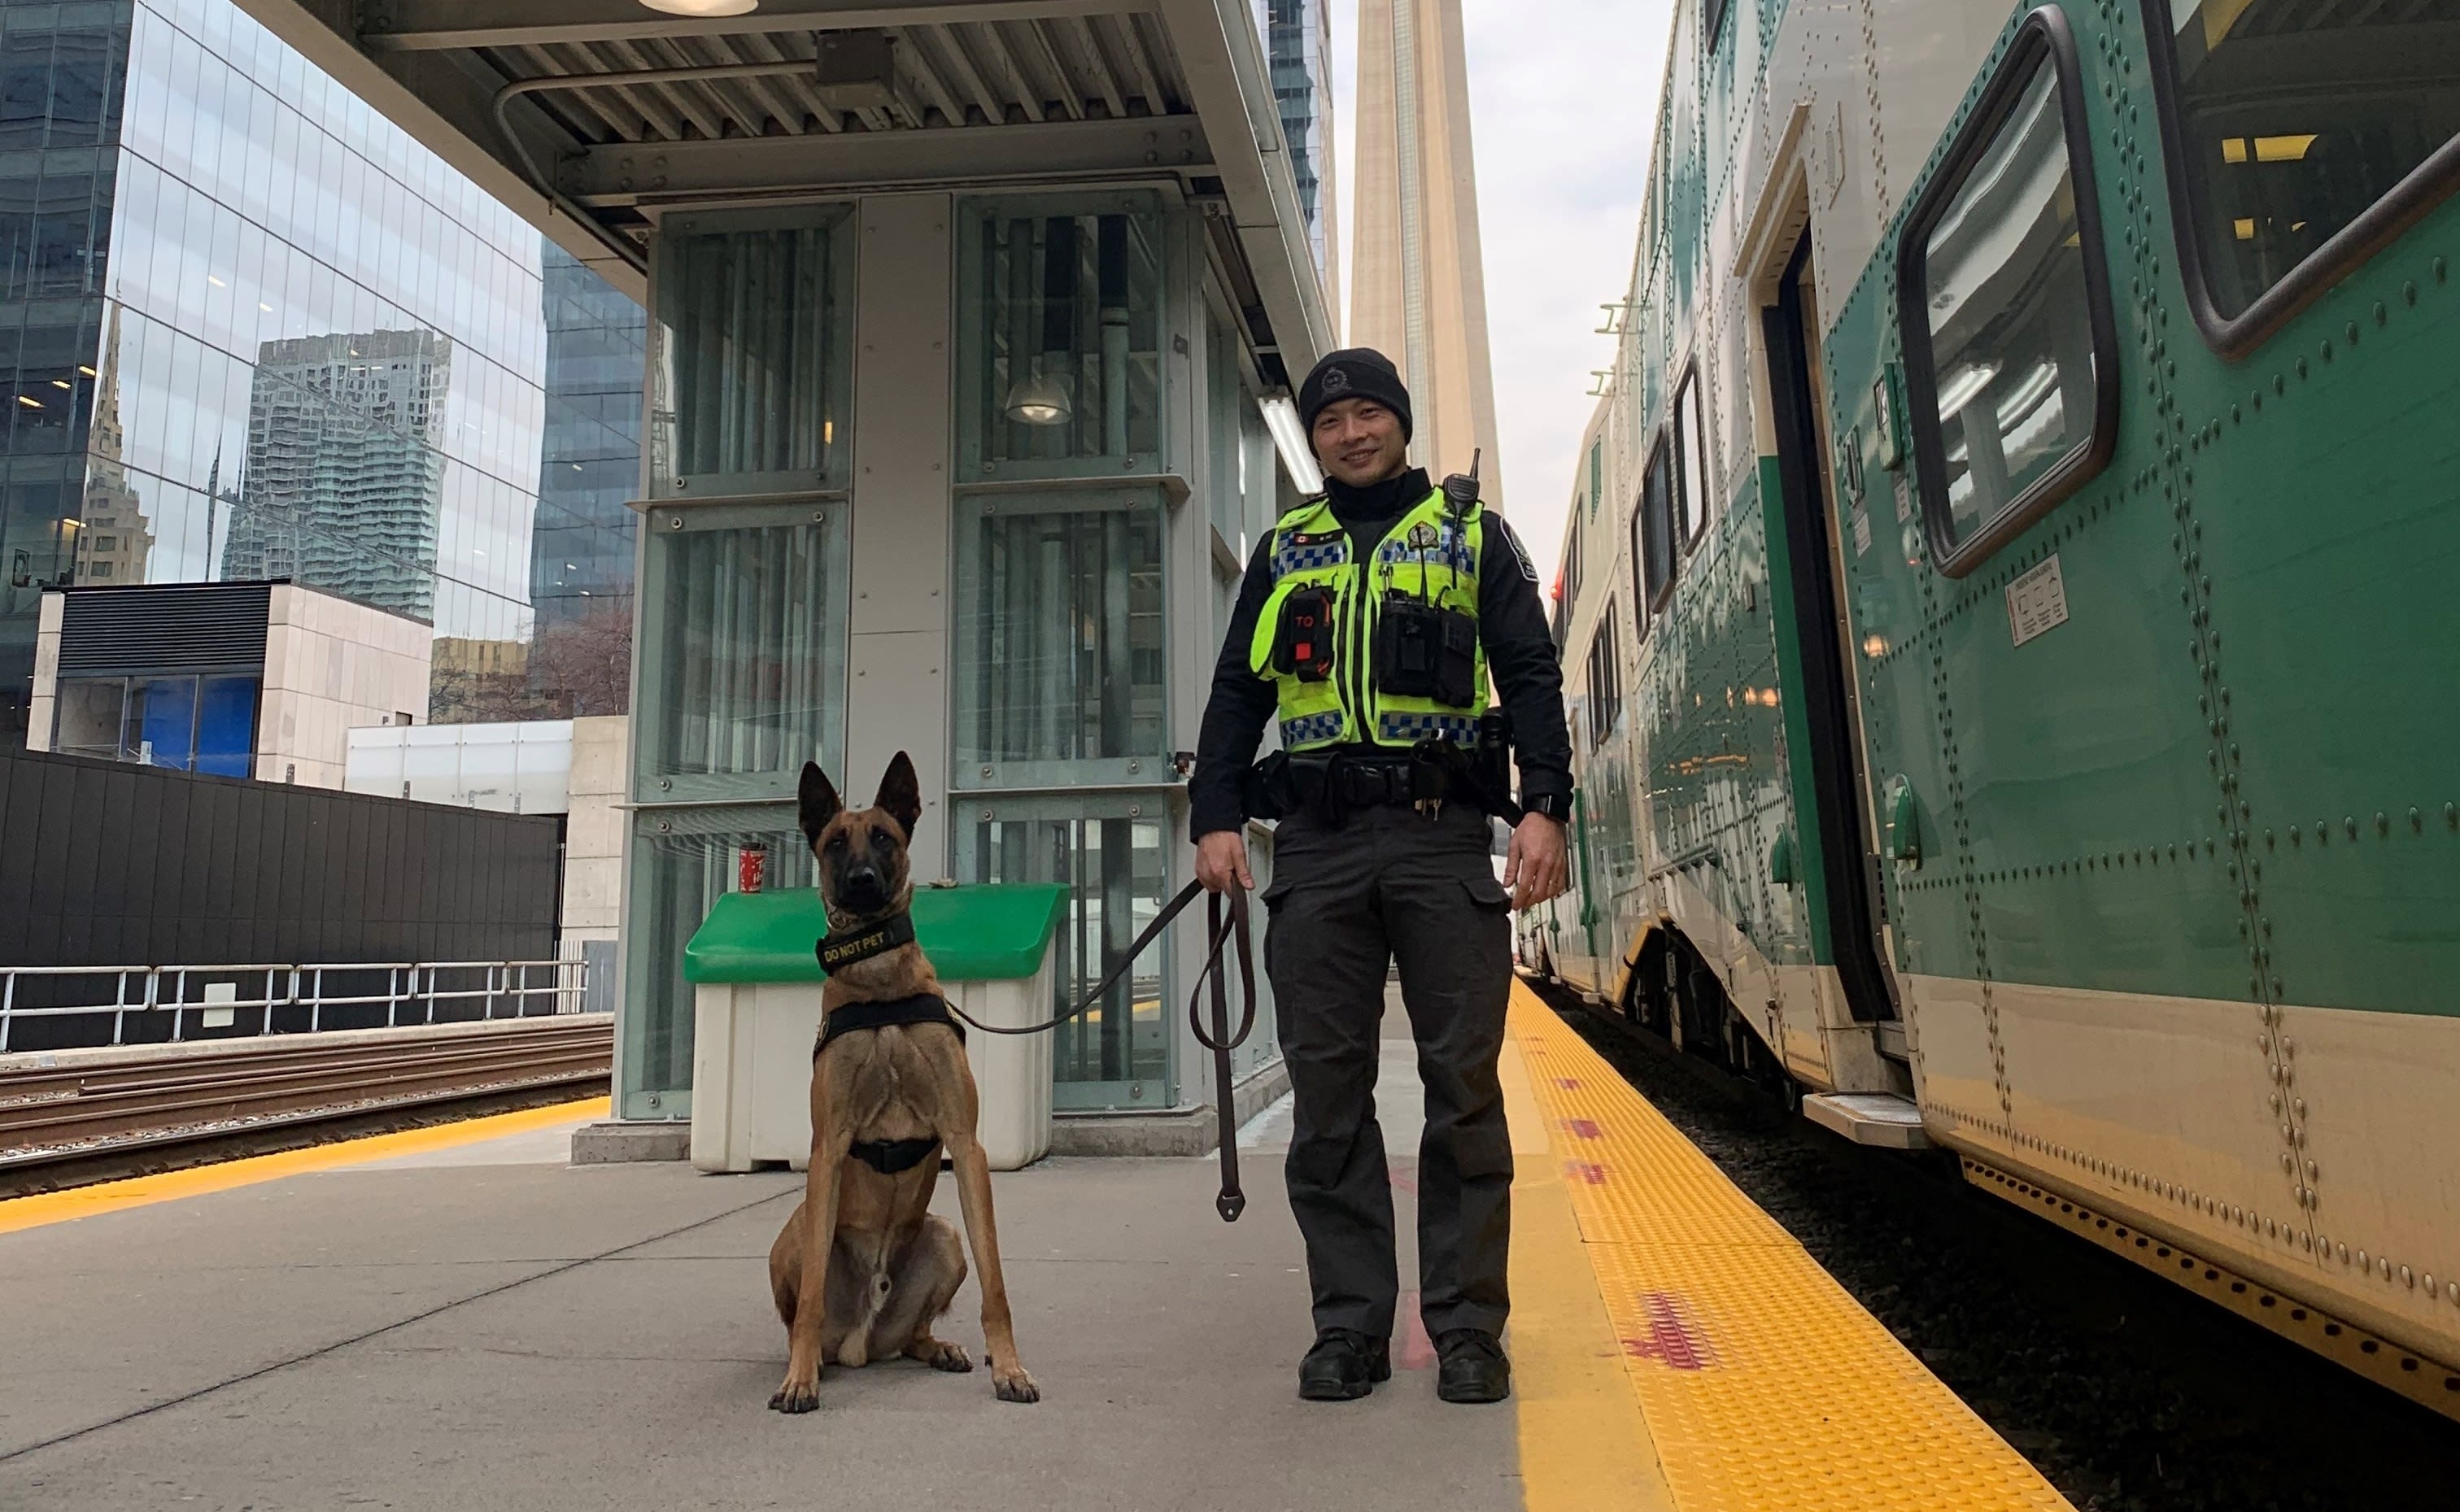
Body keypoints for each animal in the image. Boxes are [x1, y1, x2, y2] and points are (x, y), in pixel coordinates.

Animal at [767, 752, 1038, 1416]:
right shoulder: (827, 1147)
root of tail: (862, 1341)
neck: (879, 983)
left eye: (884, 837)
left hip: (943, 1236)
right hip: (795, 1228)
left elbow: (996, 1283)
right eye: (836, 842)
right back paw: (809, 1361)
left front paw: (1009, 1368)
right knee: (803, 1313)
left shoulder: (966, 1141)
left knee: (912, 1332)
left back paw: (939, 1347)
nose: (862, 879)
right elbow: (809, 1298)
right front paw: (799, 1380)